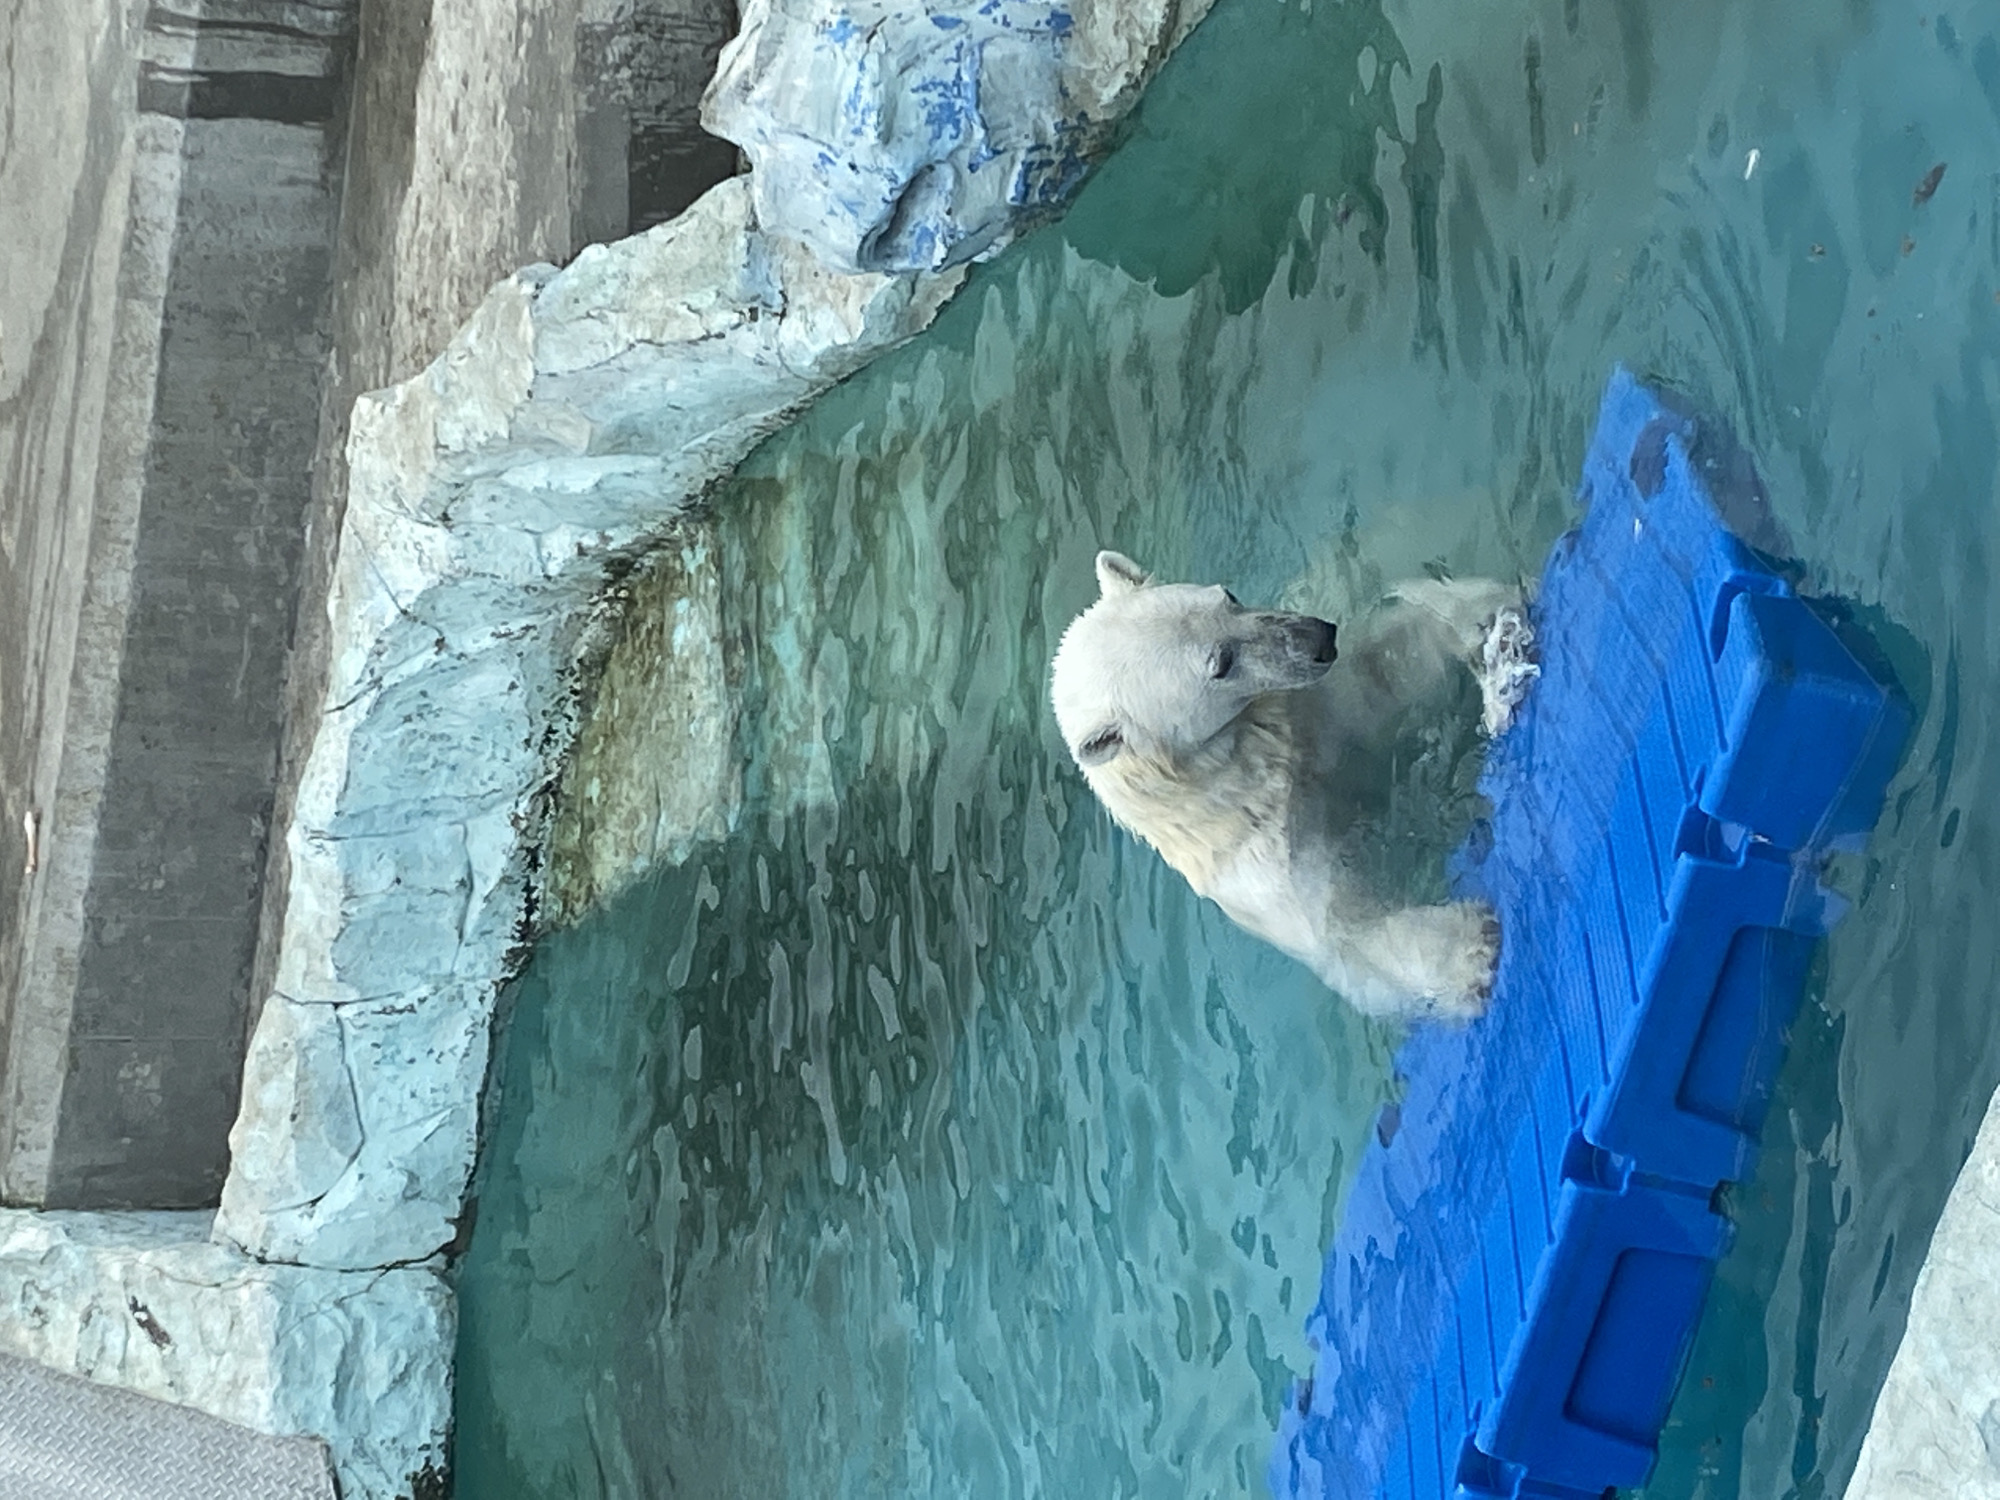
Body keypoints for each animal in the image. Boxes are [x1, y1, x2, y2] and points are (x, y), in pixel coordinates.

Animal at [1049, 549, 1536, 1022]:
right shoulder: (1261, 870)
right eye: (1221, 663)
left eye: (1228, 596)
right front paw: (1472, 950)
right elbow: (1342, 934)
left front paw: (1496, 638)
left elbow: (1390, 663)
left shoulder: (1309, 720)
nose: (1321, 638)